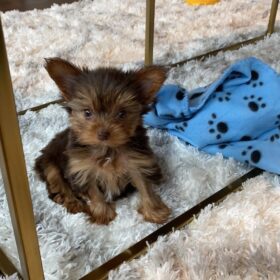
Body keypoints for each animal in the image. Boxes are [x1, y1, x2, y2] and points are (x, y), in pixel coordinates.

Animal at [35, 58, 171, 224]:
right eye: (87, 112)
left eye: (121, 114)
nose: (103, 133)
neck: (107, 149)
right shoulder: (82, 169)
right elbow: (94, 192)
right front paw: (102, 214)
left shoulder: (138, 162)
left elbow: (145, 186)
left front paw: (154, 212)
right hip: (48, 162)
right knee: (56, 181)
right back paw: (72, 202)